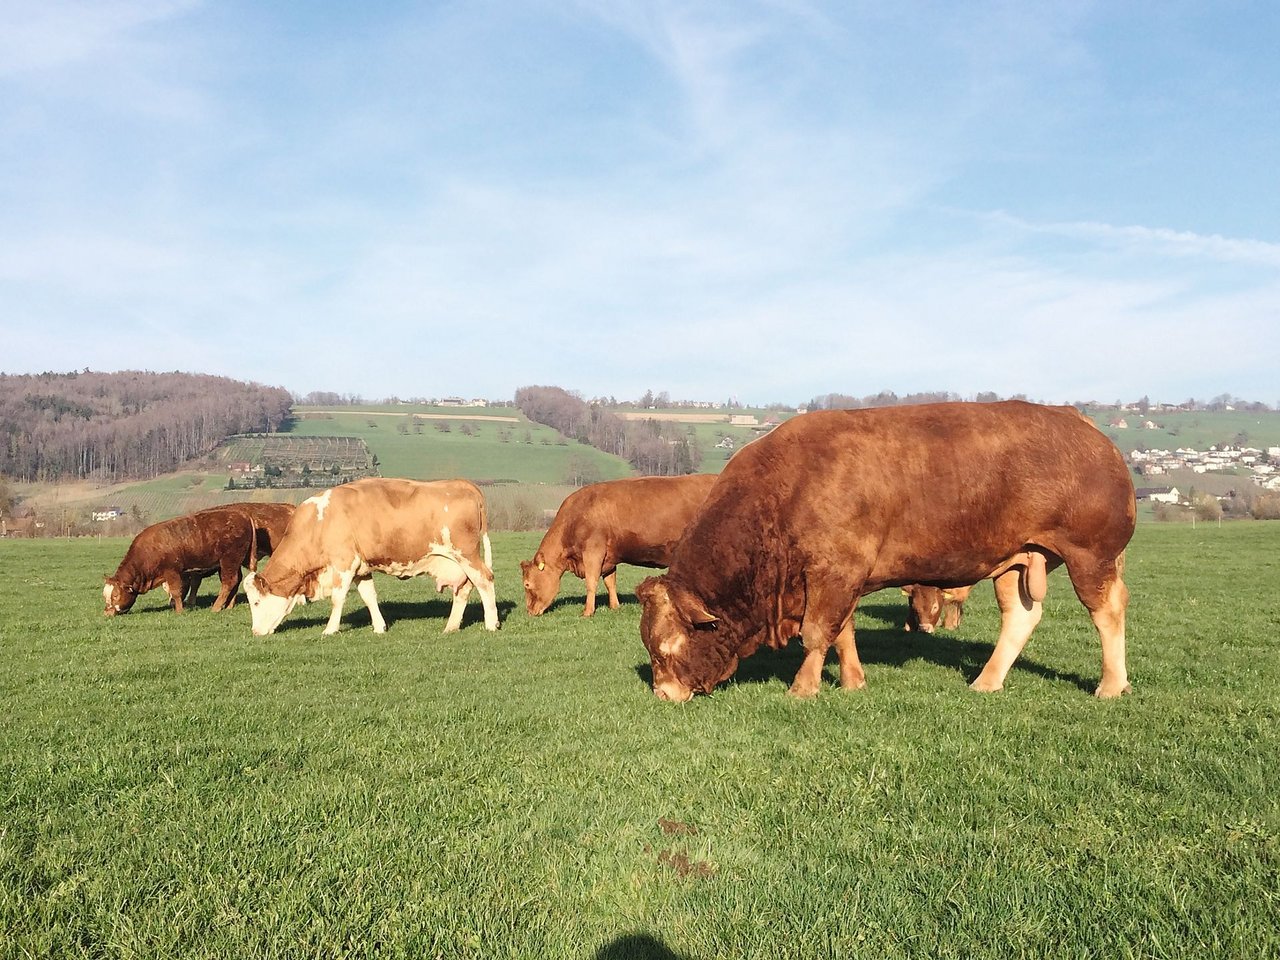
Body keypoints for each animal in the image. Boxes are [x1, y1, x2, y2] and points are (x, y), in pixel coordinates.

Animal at [104, 512, 257, 616]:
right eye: (105, 596)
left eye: (115, 595)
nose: (107, 612)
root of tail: (242, 515)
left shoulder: (172, 571)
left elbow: (176, 592)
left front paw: (179, 610)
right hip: (231, 563)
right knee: (235, 580)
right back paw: (229, 605)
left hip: (229, 561)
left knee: (229, 582)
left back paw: (216, 607)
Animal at [241, 478, 496, 640]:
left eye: (256, 603)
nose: (254, 632)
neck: (319, 522)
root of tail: (463, 483)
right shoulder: (361, 569)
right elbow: (369, 596)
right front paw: (379, 627)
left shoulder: (343, 564)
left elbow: (338, 598)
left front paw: (330, 629)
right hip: (458, 563)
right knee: (464, 589)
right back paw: (451, 626)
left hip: (466, 555)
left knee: (485, 581)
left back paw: (491, 623)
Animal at [519, 476, 721, 624]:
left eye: (527, 585)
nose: (529, 612)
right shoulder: (609, 558)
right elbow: (610, 582)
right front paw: (615, 607)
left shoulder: (593, 551)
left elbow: (591, 582)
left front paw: (587, 612)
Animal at [634, 401, 1136, 701]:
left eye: (665, 646)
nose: (662, 693)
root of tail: (1079, 420)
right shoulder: (840, 578)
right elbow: (843, 633)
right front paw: (853, 681)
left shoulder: (835, 572)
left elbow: (816, 633)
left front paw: (803, 687)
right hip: (1018, 560)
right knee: (1021, 616)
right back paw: (987, 681)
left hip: (1091, 555)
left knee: (1108, 611)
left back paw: (1112, 685)